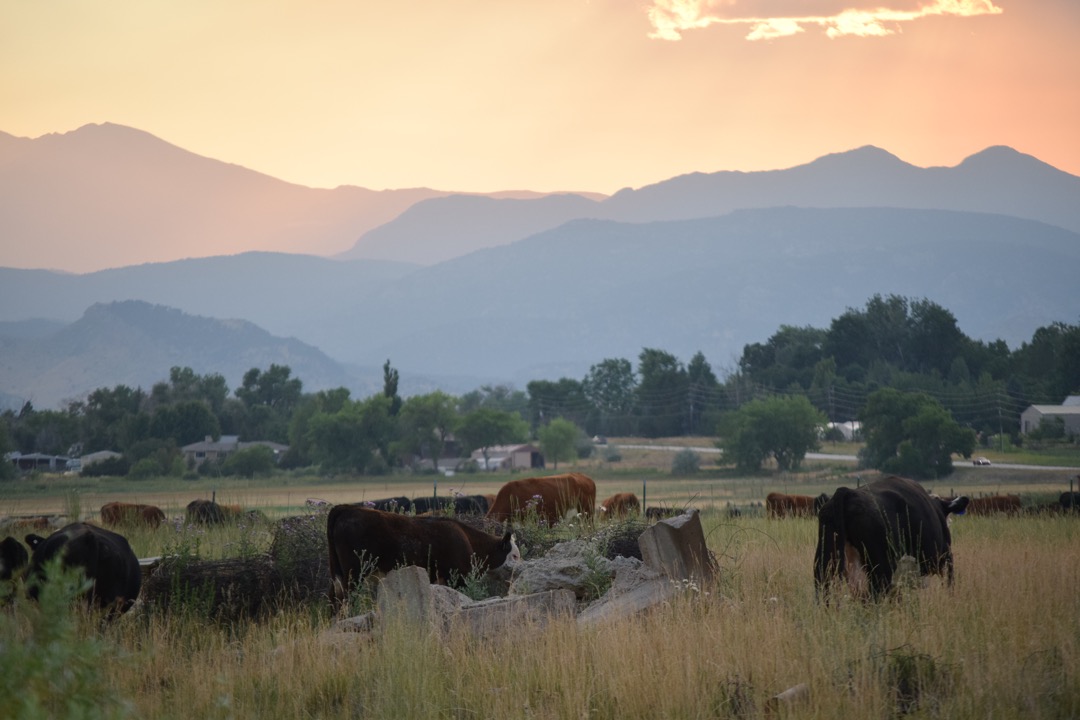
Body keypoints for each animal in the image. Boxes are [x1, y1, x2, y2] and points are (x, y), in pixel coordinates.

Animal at [324, 500, 518, 595]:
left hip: (338, 573)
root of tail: (345, 509)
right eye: (515, 556)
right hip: (354, 572)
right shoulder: (458, 577)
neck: (467, 539)